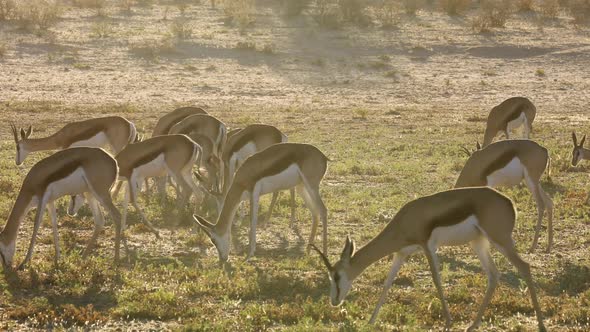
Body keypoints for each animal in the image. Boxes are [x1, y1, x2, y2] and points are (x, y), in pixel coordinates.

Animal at [195, 143, 330, 262]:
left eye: (213, 240)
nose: (223, 259)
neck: (242, 177)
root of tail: (323, 156)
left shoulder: (254, 193)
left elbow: (252, 222)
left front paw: (248, 256)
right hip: (301, 187)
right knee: (315, 213)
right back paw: (307, 250)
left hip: (311, 186)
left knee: (323, 210)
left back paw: (325, 254)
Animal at [312, 187, 548, 332]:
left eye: (336, 275)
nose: (334, 301)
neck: (405, 220)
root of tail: (509, 202)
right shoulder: (401, 253)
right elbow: (387, 283)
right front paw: (370, 320)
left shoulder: (428, 247)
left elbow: (436, 280)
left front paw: (448, 322)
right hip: (479, 243)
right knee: (493, 275)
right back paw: (472, 325)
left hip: (500, 239)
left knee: (524, 267)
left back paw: (541, 325)